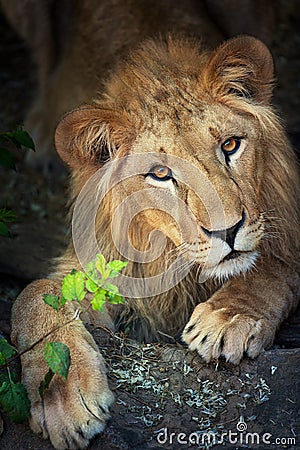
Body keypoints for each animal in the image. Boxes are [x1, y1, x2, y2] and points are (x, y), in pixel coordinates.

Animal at [9, 30, 300, 446]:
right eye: (161, 174)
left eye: (230, 145)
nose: (227, 231)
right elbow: (35, 294)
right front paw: (63, 396)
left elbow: (275, 266)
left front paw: (228, 317)